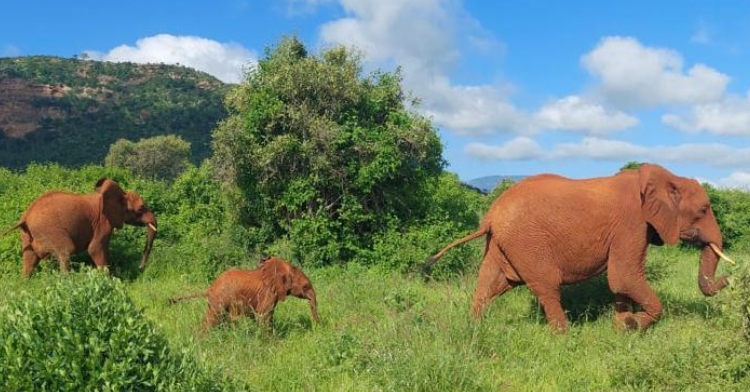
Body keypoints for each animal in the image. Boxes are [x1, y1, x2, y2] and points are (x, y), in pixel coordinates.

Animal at [1, 178, 157, 276]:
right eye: (140, 209)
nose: (140, 268)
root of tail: (25, 218)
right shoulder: (103, 222)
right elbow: (95, 249)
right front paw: (110, 280)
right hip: (50, 230)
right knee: (65, 251)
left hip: (26, 235)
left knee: (29, 259)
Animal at [169, 256, 322, 332]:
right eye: (305, 287)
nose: (318, 326)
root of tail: (210, 288)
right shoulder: (268, 293)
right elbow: (264, 316)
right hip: (219, 301)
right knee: (212, 320)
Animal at [426, 164, 736, 332]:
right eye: (704, 209)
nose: (730, 279)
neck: (664, 177)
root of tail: (491, 214)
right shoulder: (631, 224)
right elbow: (623, 276)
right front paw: (634, 325)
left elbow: (620, 281)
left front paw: (621, 327)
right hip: (527, 243)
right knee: (547, 286)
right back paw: (564, 336)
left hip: (502, 244)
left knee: (490, 283)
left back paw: (475, 328)